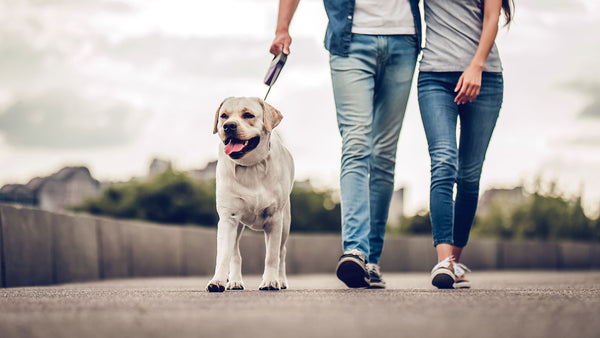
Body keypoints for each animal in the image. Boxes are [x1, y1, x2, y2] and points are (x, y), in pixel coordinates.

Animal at [207, 96, 294, 292]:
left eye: (248, 115)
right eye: (224, 116)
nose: (229, 126)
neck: (251, 166)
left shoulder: (275, 219)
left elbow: (271, 256)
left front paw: (270, 281)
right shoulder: (228, 218)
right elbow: (223, 255)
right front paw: (218, 281)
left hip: (285, 223)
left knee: (282, 252)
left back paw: (281, 279)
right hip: (238, 226)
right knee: (235, 254)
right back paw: (234, 281)